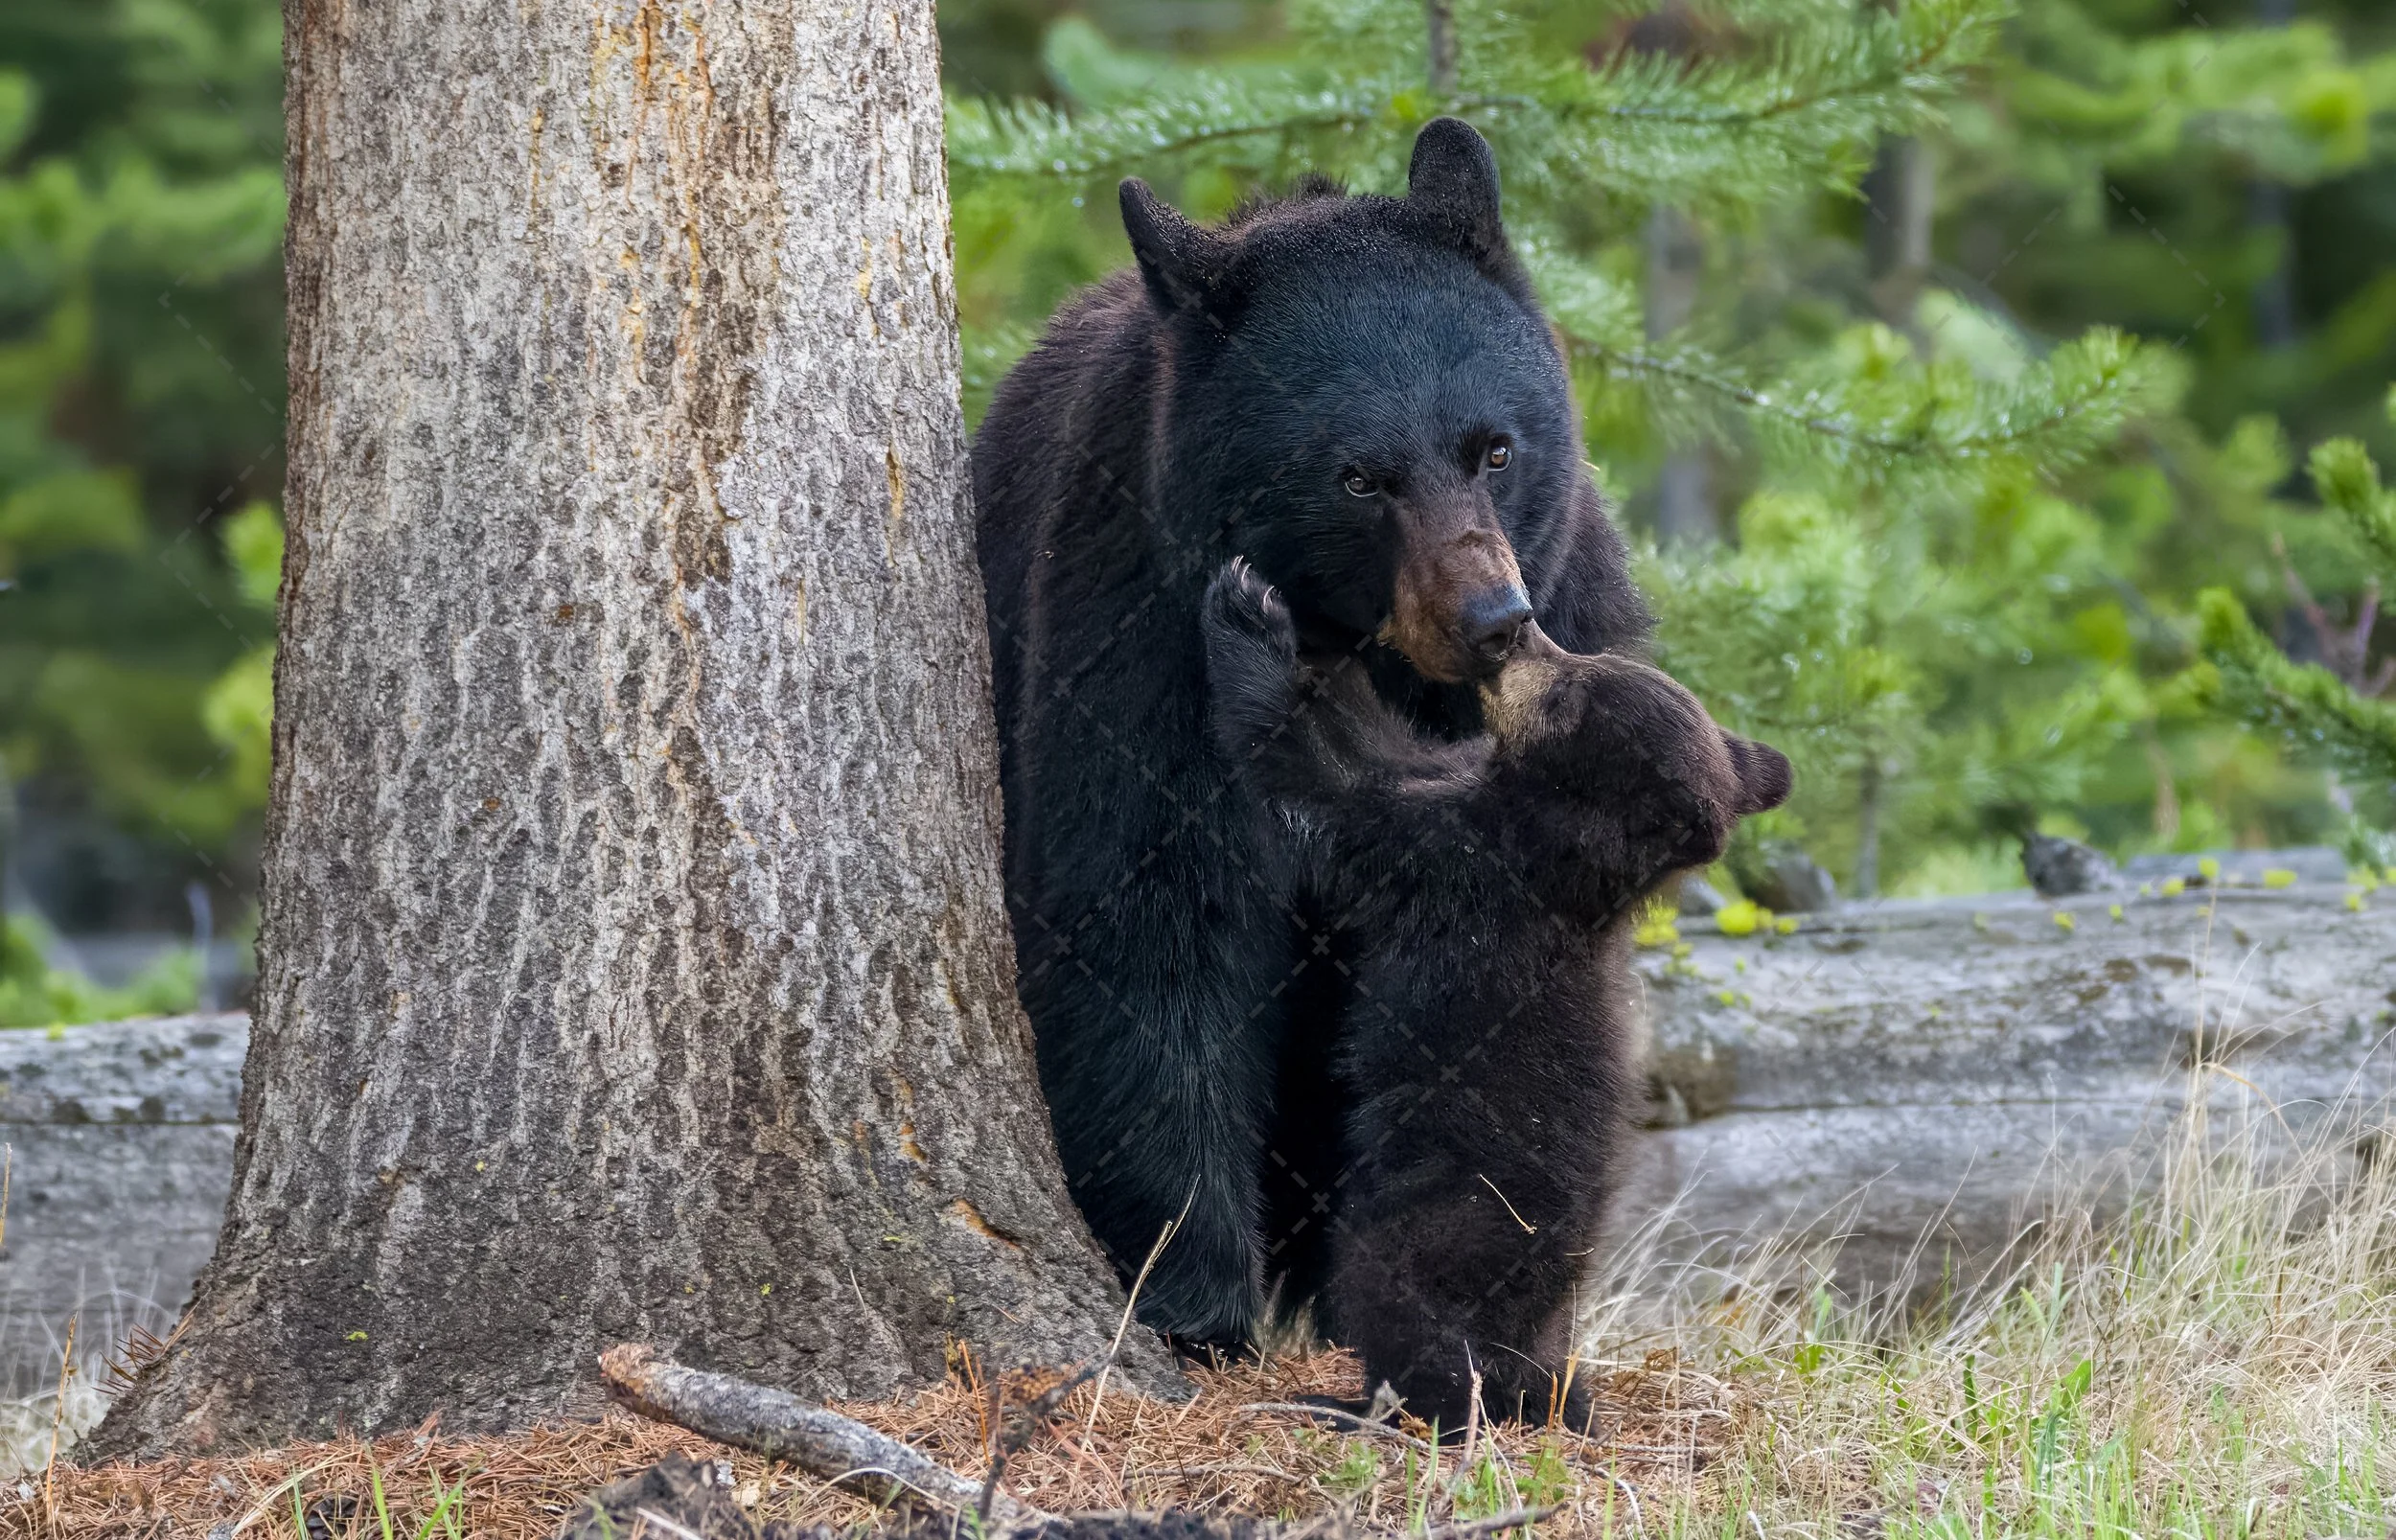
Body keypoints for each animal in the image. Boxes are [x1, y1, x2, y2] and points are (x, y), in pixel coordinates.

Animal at [1197, 558, 1790, 1428]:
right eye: (1581, 661)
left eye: (1568, 687)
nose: (1520, 628)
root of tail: (1523, 1348)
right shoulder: (1459, 795)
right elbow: (1390, 746)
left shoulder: (1454, 865)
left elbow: (1329, 791)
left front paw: (1251, 611)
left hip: (1433, 1226)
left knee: (1408, 1323)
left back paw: (1350, 1400)